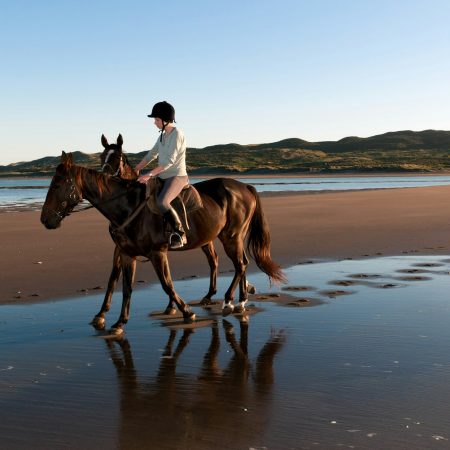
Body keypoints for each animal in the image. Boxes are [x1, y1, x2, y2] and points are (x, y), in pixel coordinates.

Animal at [41, 153, 284, 332]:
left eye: (57, 185)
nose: (45, 219)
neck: (129, 207)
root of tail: (245, 187)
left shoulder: (157, 253)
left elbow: (167, 284)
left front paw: (186, 311)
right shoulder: (127, 253)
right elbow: (124, 286)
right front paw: (118, 322)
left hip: (231, 237)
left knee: (240, 264)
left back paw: (229, 301)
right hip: (227, 238)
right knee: (239, 264)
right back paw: (238, 300)